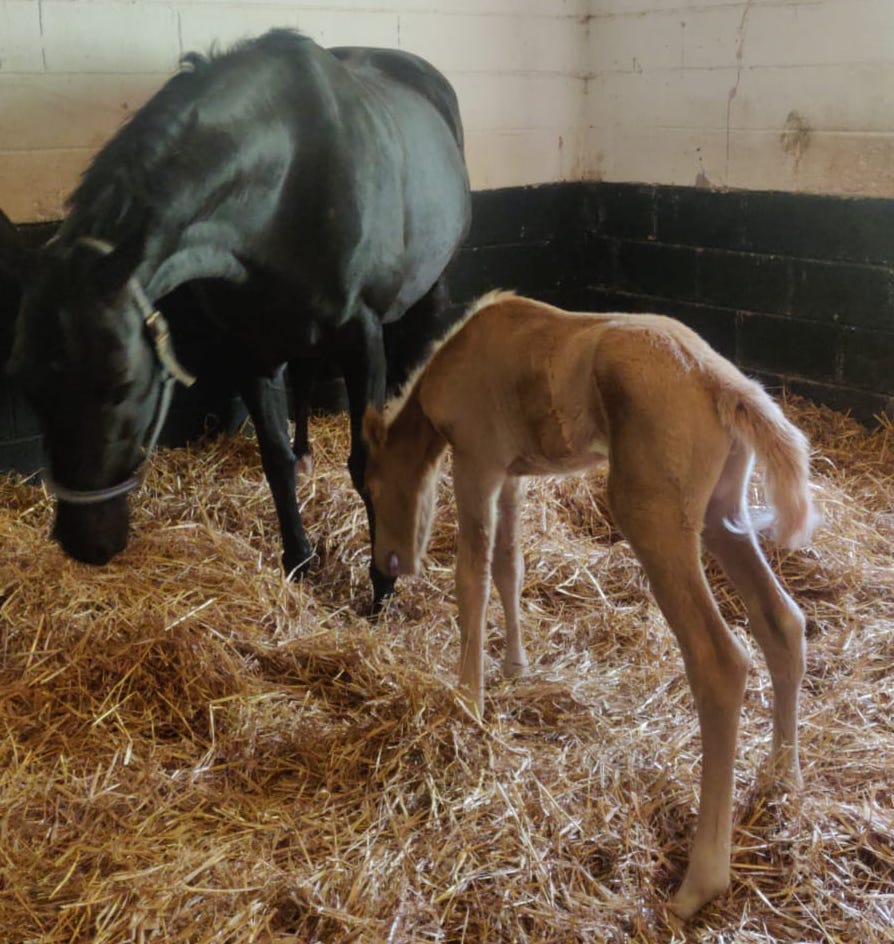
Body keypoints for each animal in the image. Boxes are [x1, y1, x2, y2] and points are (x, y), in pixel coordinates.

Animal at [0, 29, 472, 608]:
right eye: (27, 385)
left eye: (122, 386)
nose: (85, 543)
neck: (292, 179)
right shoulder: (251, 349)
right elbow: (275, 462)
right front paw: (298, 560)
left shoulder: (362, 339)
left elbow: (365, 468)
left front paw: (382, 588)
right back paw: (307, 450)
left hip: (429, 288)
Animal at [362, 292, 820, 920]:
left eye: (373, 487)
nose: (387, 564)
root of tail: (722, 382)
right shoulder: (514, 474)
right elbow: (510, 566)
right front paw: (514, 667)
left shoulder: (478, 462)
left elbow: (472, 576)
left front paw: (468, 698)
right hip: (722, 512)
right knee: (782, 622)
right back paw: (782, 780)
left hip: (653, 518)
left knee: (719, 662)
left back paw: (699, 883)